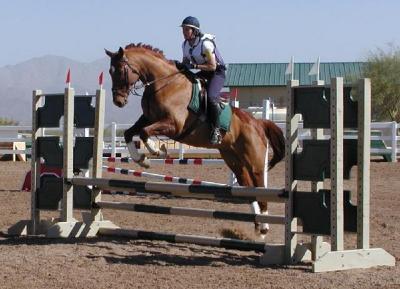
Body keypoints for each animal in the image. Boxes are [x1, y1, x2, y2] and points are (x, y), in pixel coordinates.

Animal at [103, 43, 284, 236]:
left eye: (121, 70)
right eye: (110, 71)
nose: (118, 101)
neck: (163, 83)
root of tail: (257, 122)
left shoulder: (174, 125)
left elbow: (144, 133)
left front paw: (158, 151)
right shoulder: (148, 119)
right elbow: (130, 133)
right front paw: (142, 160)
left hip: (254, 161)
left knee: (260, 186)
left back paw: (264, 226)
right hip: (234, 160)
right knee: (248, 187)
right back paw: (257, 224)